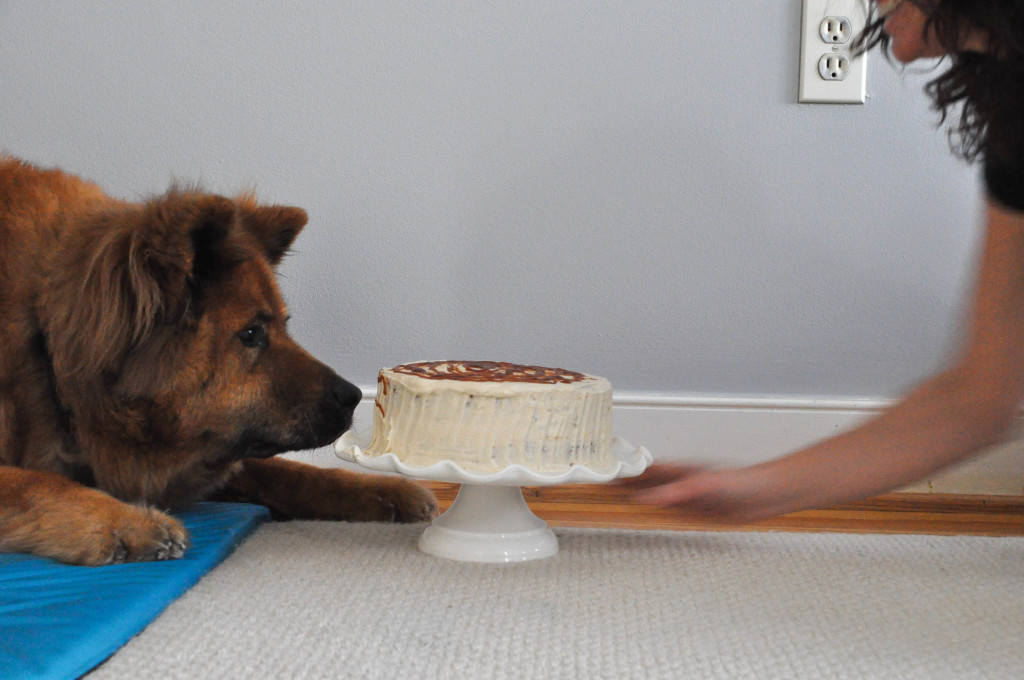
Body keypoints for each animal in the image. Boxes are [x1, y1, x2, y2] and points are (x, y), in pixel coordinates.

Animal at [0, 156, 436, 565]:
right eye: (251, 334)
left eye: (285, 325)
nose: (353, 397)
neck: (49, 351)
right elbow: (34, 483)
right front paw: (128, 522)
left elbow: (288, 472)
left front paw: (382, 488)